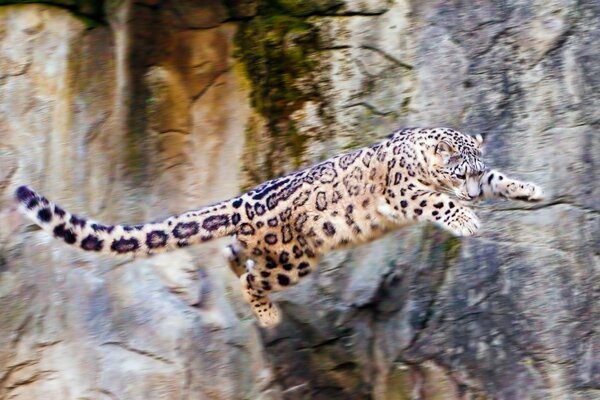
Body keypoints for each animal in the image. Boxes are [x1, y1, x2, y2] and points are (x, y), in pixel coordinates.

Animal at [16, 128, 548, 328]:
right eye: (459, 173)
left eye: (478, 171)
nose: (472, 194)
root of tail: (242, 200)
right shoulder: (402, 191)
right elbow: (432, 199)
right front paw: (467, 219)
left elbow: (504, 181)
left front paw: (530, 189)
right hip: (295, 257)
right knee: (253, 277)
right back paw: (268, 315)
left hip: (276, 251)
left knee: (235, 255)